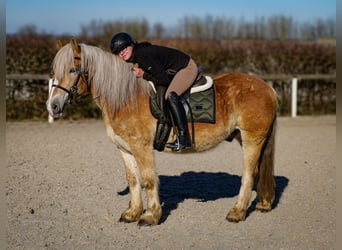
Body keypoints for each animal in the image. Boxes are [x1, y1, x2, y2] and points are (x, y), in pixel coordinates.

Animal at [46, 38, 276, 226]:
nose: (53, 106)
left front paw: (150, 216)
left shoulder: (142, 147)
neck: (126, 98)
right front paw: (132, 213)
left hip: (252, 139)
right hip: (246, 138)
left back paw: (237, 212)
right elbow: (133, 180)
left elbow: (148, 180)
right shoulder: (125, 148)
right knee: (257, 171)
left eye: (72, 70)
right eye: (54, 71)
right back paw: (262, 204)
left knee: (248, 175)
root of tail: (268, 87)